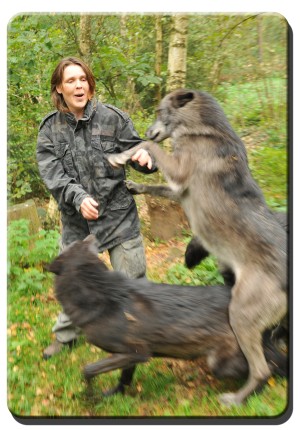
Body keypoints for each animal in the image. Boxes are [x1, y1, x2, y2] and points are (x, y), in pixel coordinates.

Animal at [47, 235, 286, 400]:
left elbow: (87, 370)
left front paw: (90, 397)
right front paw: (113, 395)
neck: (101, 294)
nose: (93, 234)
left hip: (220, 363)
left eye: (77, 244)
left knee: (267, 367)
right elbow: (124, 379)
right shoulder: (129, 356)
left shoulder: (136, 352)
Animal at [108, 89, 288, 404]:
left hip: (241, 315)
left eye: (159, 111)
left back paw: (235, 399)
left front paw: (120, 155)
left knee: (261, 370)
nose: (147, 129)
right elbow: (155, 184)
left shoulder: (179, 171)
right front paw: (134, 185)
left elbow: (146, 147)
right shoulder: (179, 188)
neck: (202, 130)